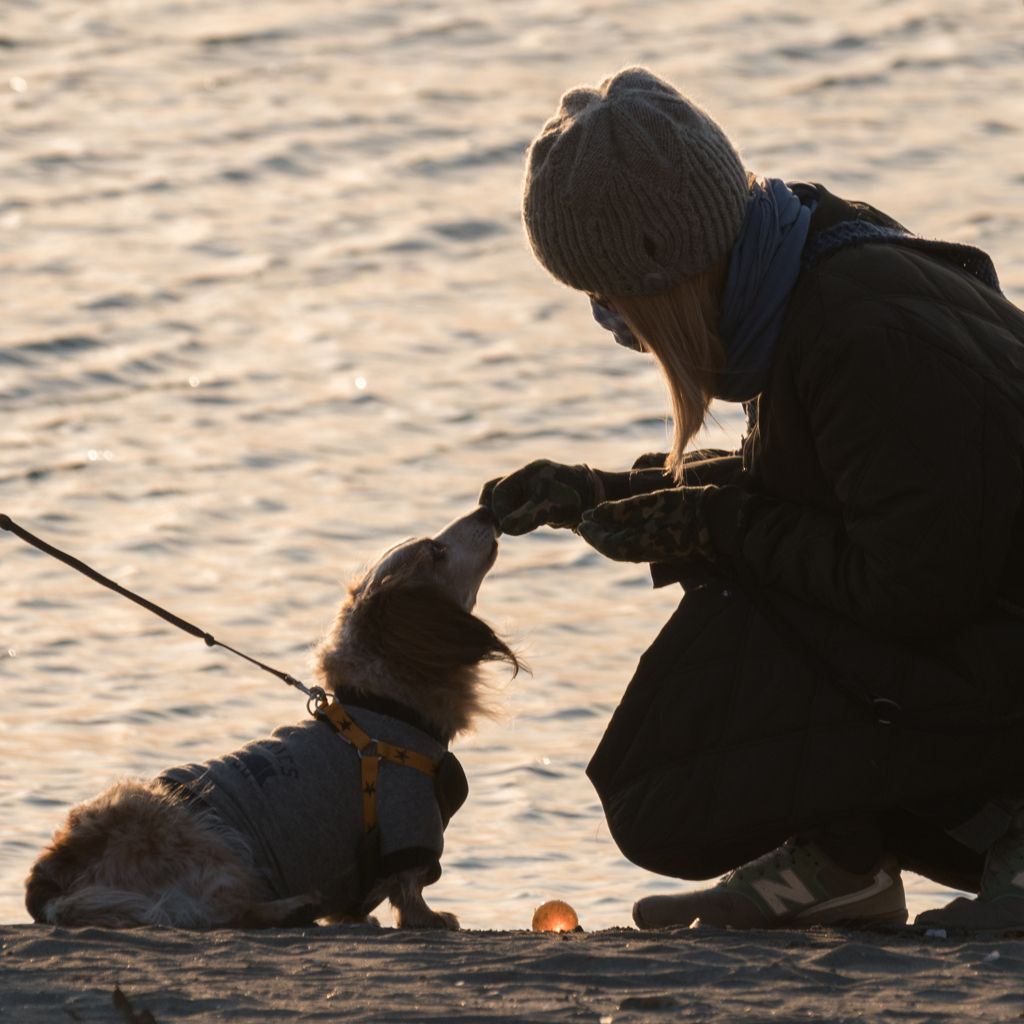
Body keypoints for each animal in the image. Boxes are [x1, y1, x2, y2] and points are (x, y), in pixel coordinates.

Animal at [24, 507, 516, 933]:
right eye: (436, 550)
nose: (486, 509)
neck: (382, 706)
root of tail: (50, 875)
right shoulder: (410, 824)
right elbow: (410, 891)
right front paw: (431, 918)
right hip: (216, 846)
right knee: (227, 914)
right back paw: (293, 908)